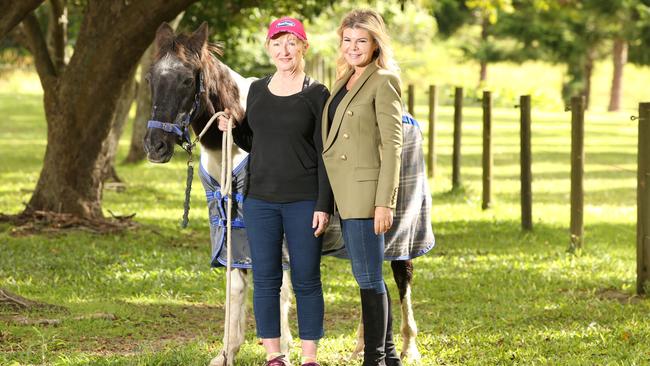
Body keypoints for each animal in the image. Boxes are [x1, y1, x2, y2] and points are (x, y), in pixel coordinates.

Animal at [144, 22, 432, 366]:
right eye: (150, 78)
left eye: (188, 79)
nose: (155, 146)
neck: (232, 151)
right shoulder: (232, 230)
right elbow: (236, 288)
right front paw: (227, 352)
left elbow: (280, 289)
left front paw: (283, 348)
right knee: (374, 282)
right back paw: (362, 347)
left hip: (398, 231)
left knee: (401, 278)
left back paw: (409, 348)